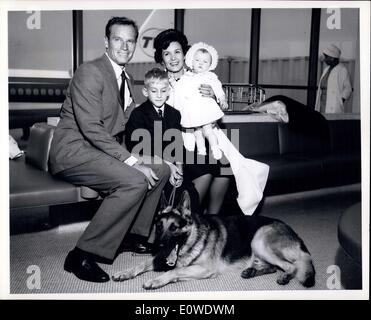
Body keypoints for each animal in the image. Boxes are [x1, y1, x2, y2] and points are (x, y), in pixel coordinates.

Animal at [112, 192, 316, 290]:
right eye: (159, 226)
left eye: (174, 228)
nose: (157, 247)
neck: (192, 239)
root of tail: (294, 233)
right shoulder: (160, 258)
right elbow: (142, 264)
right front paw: (125, 272)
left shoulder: (205, 269)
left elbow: (174, 271)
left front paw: (156, 280)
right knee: (273, 266)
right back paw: (251, 271)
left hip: (259, 240)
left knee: (291, 266)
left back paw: (284, 277)